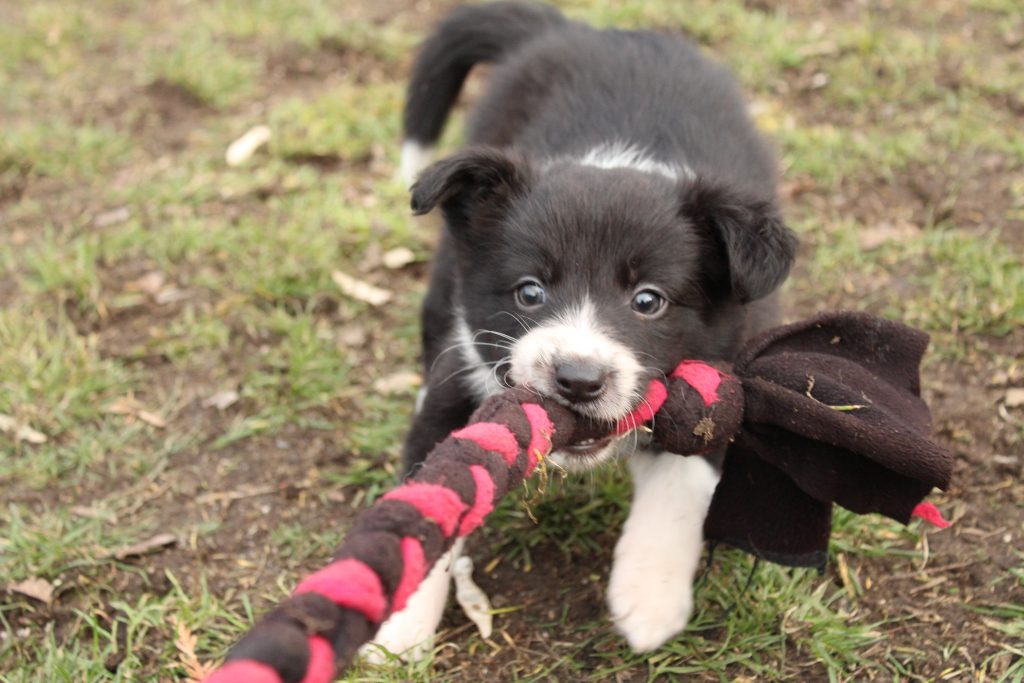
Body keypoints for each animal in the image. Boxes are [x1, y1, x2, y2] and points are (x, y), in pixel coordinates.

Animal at [368, 0, 798, 659]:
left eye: (648, 301)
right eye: (530, 292)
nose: (576, 380)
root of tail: (574, 30)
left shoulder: (728, 369)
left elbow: (683, 478)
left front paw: (650, 597)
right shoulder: (461, 369)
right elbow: (429, 495)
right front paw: (398, 629)